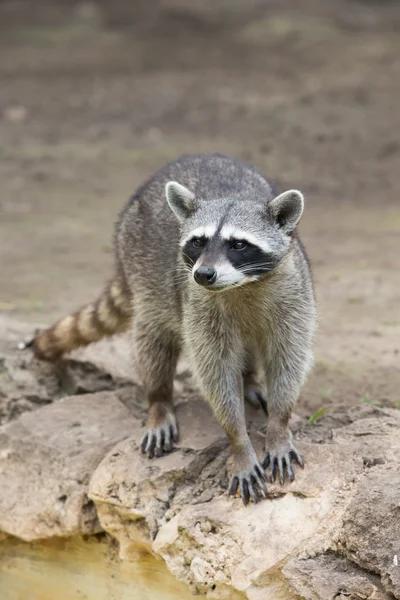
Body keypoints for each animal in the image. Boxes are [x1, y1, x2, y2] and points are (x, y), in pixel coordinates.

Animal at [31, 154, 316, 502]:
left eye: (238, 244)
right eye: (198, 242)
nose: (204, 274)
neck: (243, 286)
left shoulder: (294, 295)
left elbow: (288, 359)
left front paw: (278, 425)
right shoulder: (199, 305)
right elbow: (215, 372)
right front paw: (239, 442)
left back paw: (248, 379)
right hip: (142, 266)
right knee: (153, 340)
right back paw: (159, 399)